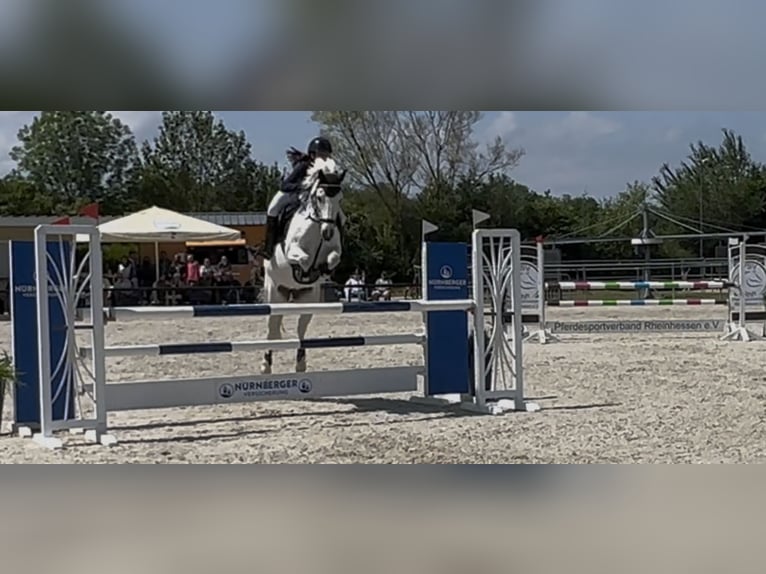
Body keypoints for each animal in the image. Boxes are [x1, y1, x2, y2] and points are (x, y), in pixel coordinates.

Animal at [260, 157, 347, 375]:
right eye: (320, 197)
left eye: (340, 199)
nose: (328, 232)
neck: (316, 227)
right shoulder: (293, 250)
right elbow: (304, 259)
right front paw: (305, 271)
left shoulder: (334, 252)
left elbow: (333, 258)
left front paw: (323, 270)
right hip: (275, 293)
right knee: (272, 330)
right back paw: (266, 365)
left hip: (308, 298)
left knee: (301, 329)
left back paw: (300, 364)